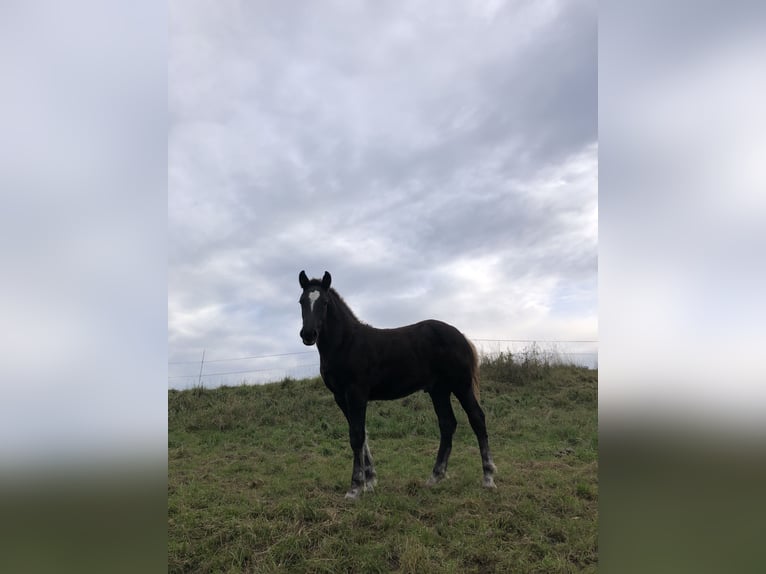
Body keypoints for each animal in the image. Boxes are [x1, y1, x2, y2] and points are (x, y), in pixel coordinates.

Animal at [298, 270, 496, 499]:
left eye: (325, 302)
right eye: (302, 301)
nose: (308, 334)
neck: (346, 343)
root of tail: (462, 337)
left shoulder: (356, 394)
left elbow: (356, 435)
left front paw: (355, 488)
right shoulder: (341, 397)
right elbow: (362, 434)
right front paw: (370, 481)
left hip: (461, 386)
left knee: (477, 419)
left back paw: (488, 478)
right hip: (439, 391)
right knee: (447, 424)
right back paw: (435, 477)